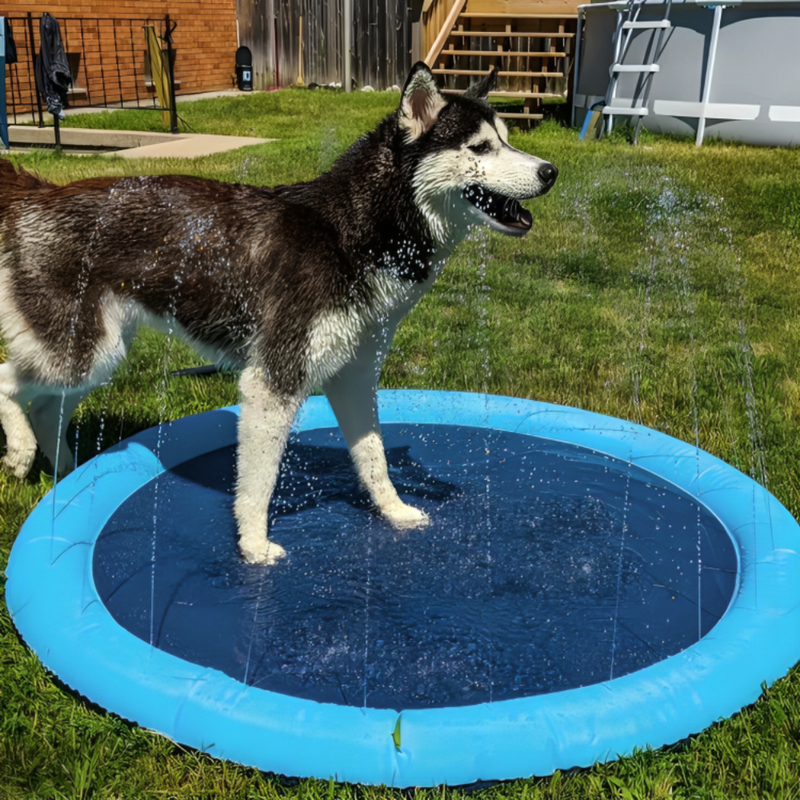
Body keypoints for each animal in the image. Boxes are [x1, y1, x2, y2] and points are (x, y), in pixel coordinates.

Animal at [1, 62, 556, 564]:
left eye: (509, 140)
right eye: (480, 148)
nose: (550, 171)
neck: (352, 235)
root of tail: (41, 191)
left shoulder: (355, 377)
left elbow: (373, 459)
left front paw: (395, 512)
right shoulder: (274, 381)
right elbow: (260, 483)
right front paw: (253, 547)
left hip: (99, 352)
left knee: (47, 405)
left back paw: (65, 472)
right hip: (79, 349)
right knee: (9, 381)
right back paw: (21, 451)